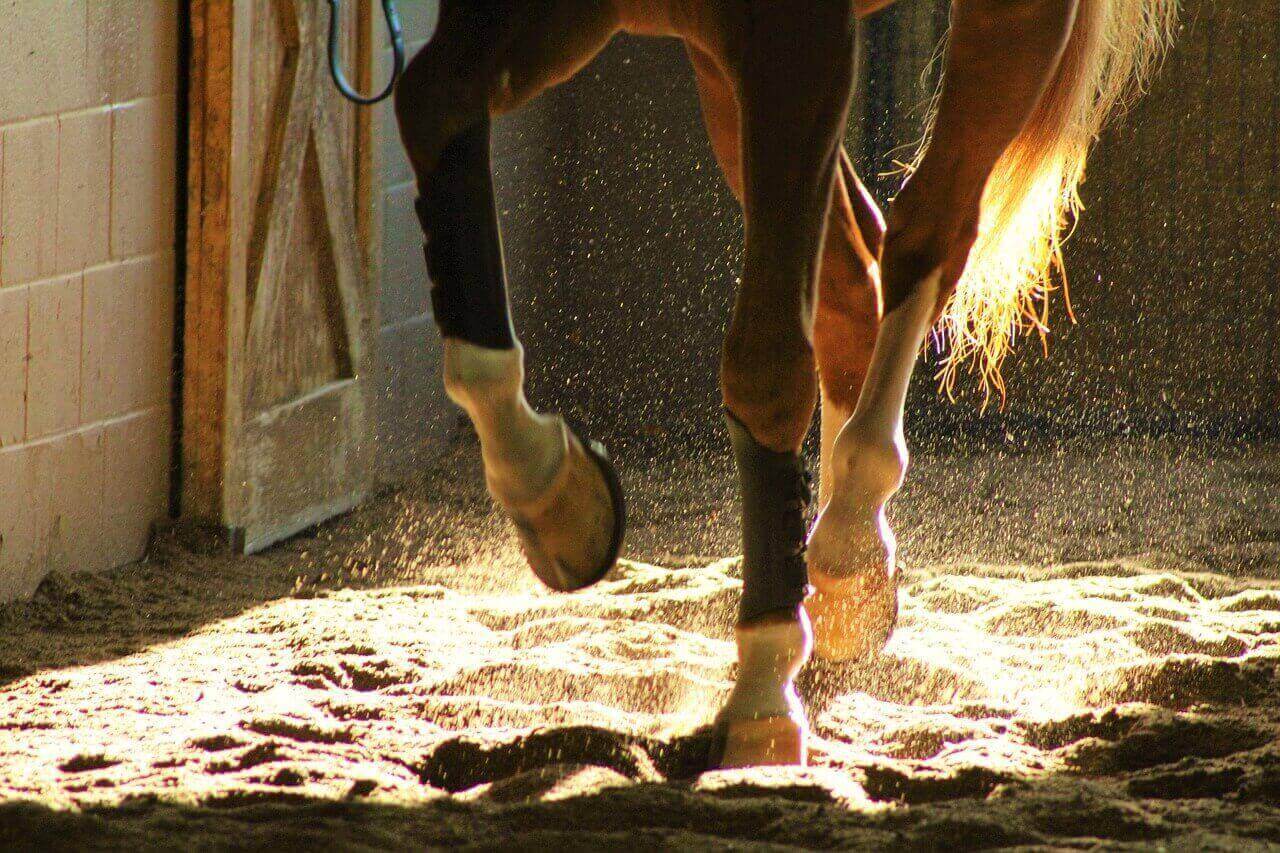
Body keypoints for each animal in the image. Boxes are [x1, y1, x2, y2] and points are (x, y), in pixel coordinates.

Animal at [392, 0, 1176, 769]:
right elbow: (431, 102)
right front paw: (555, 497)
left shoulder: (797, 39)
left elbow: (766, 369)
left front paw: (763, 695)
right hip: (722, 75)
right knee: (852, 286)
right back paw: (848, 580)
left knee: (925, 234)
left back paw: (846, 553)